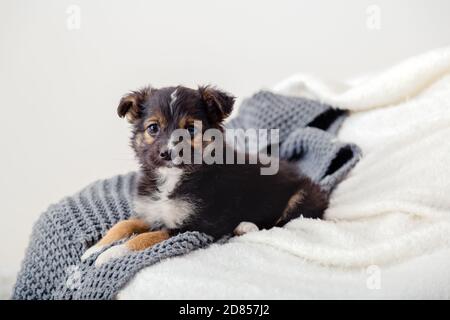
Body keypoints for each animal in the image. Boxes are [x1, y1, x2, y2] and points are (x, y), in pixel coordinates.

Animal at [81, 84, 326, 264]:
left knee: (281, 223)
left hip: (303, 196)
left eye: (191, 129)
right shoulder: (151, 212)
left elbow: (147, 236)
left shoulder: (196, 226)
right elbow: (124, 224)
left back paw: (246, 226)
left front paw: (111, 254)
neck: (174, 177)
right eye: (153, 128)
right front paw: (95, 248)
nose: (166, 153)